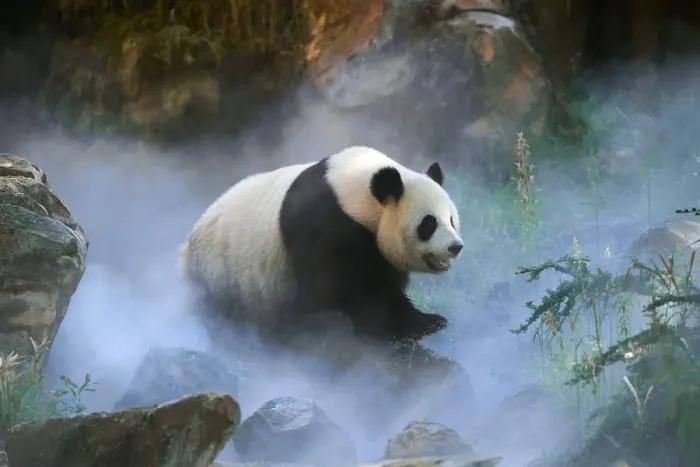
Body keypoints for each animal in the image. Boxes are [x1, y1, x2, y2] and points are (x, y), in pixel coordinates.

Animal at [179, 145, 463, 345]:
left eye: (452, 220)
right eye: (428, 223)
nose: (455, 247)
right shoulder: (325, 226)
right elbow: (349, 290)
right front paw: (417, 325)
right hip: (221, 274)